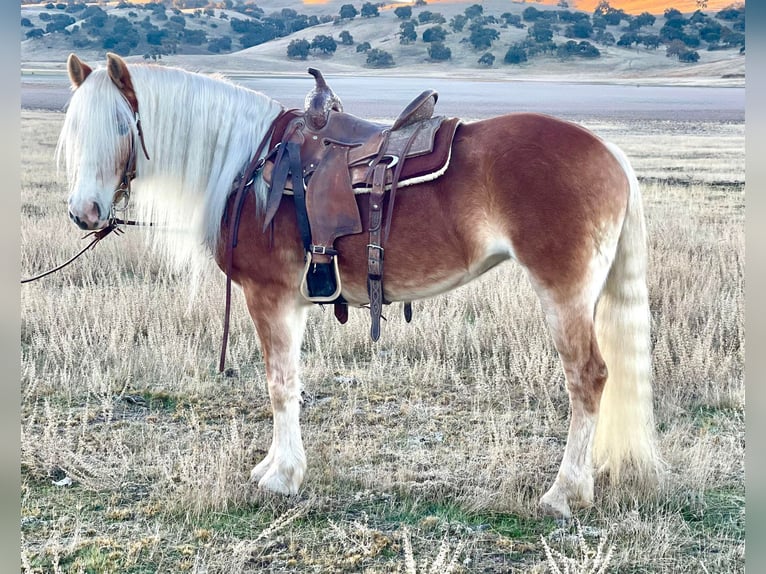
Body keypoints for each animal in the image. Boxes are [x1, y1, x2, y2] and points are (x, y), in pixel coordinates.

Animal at [60, 54, 660, 520]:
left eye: (121, 129)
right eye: (74, 131)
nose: (84, 212)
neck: (249, 165)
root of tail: (610, 154)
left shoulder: (268, 296)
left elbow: (279, 385)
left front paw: (282, 477)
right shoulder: (294, 302)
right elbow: (291, 383)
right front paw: (275, 466)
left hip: (563, 295)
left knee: (588, 378)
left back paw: (563, 493)